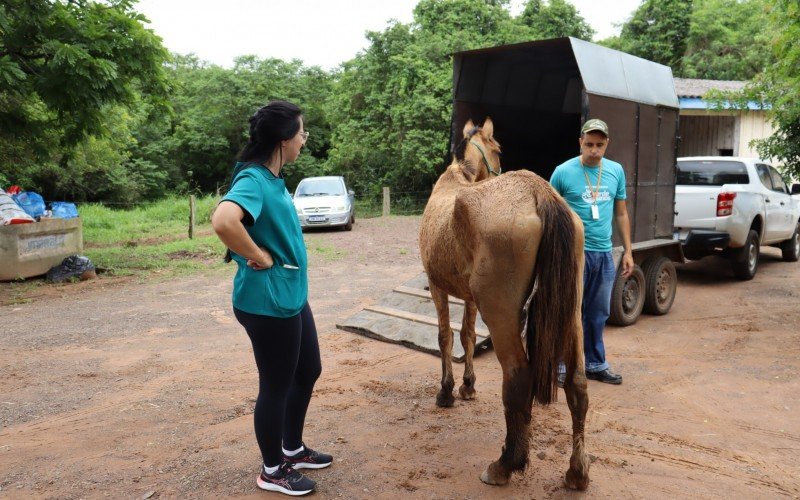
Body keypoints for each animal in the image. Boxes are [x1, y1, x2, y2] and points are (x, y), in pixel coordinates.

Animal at [422, 117, 592, 488]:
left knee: (518, 378)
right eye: (499, 149)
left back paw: (506, 463)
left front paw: (447, 392)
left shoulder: (437, 287)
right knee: (577, 384)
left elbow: (446, 338)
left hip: (501, 316)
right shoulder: (469, 298)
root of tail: (539, 193)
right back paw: (577, 472)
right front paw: (468, 387)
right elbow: (468, 336)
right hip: (572, 313)